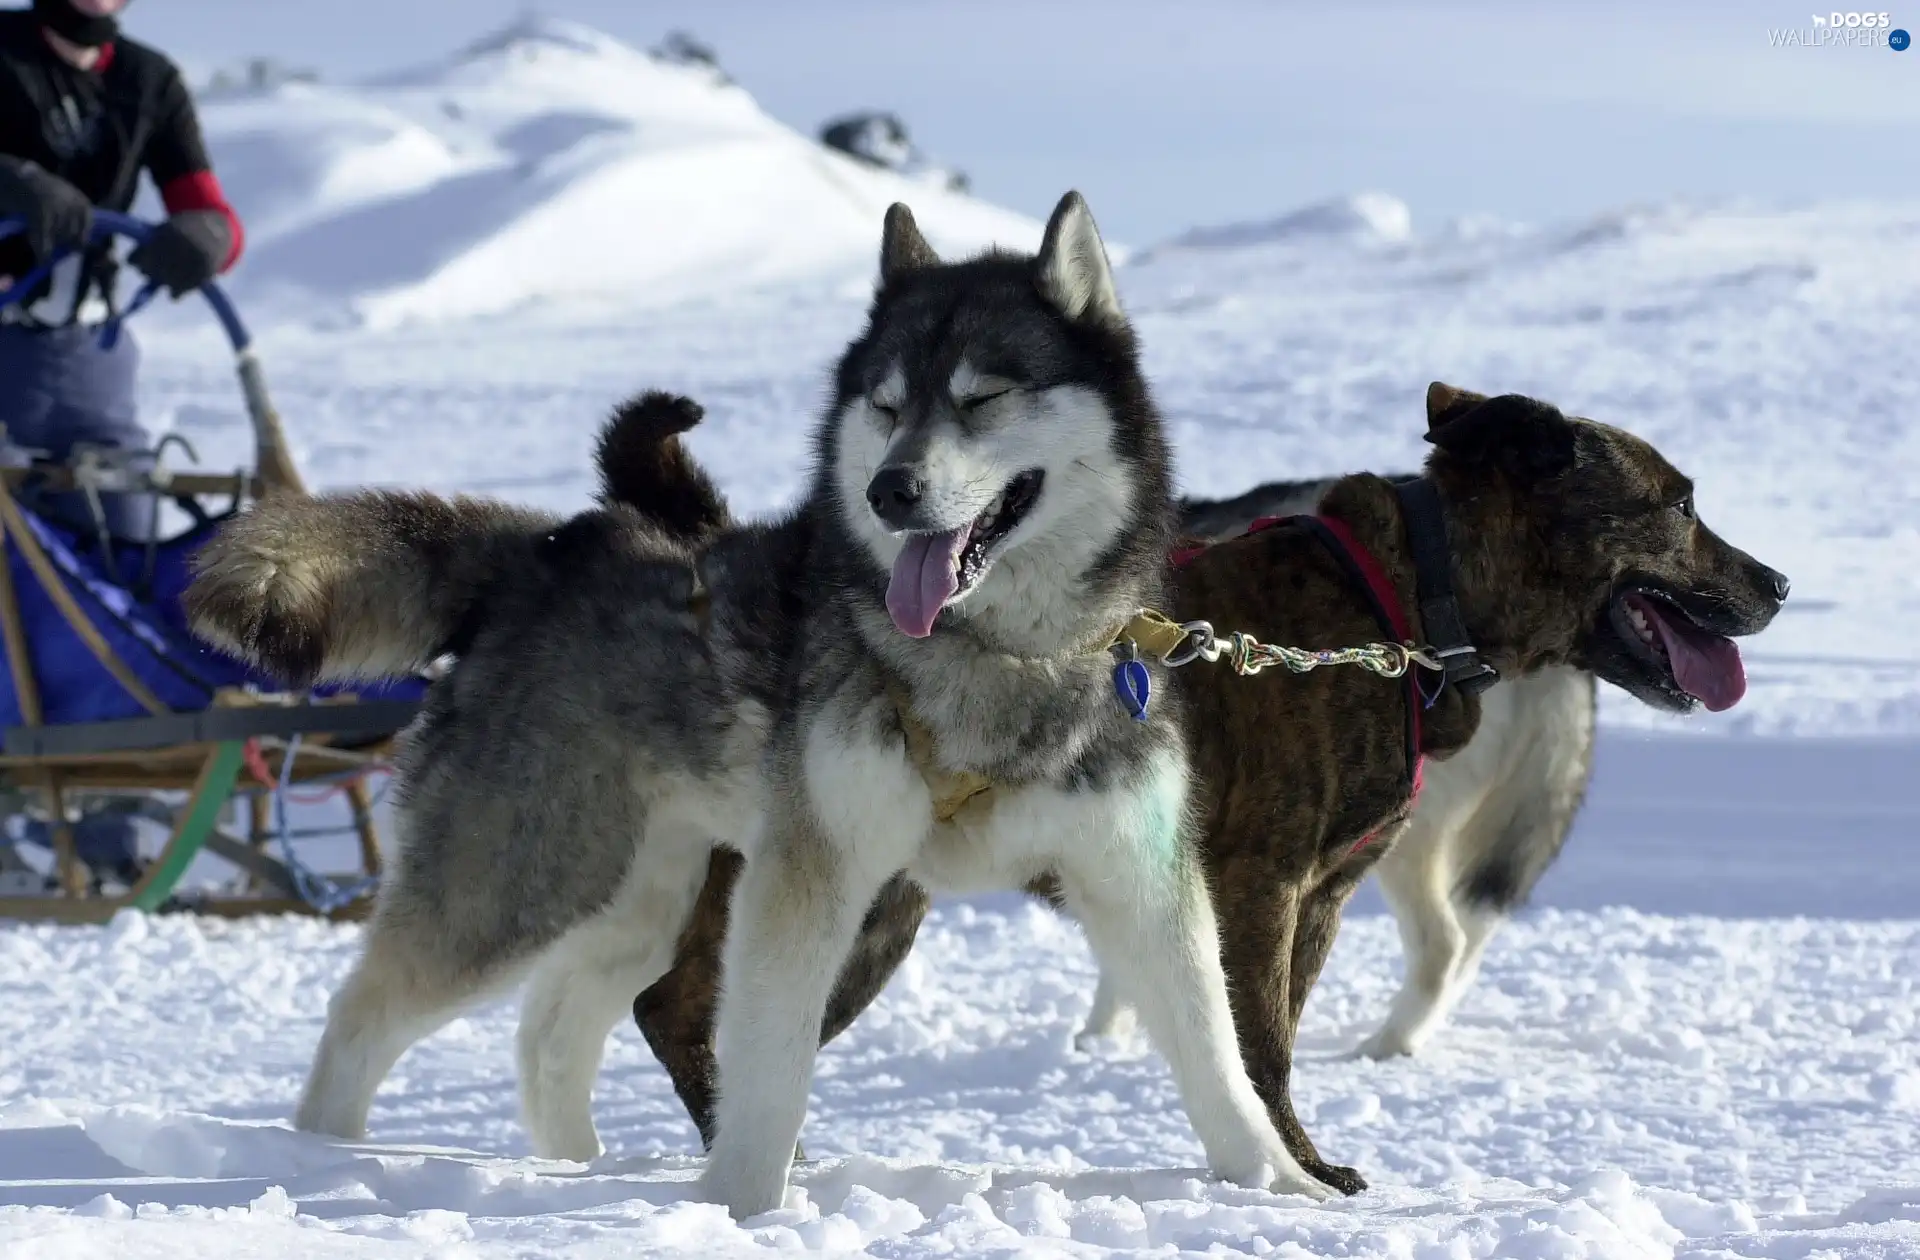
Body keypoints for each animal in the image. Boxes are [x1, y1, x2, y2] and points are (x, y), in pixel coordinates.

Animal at [191, 199, 1336, 1221]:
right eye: (886, 404)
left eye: (982, 397)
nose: (889, 490)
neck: (995, 653)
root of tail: (540, 552)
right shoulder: (811, 873)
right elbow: (771, 1064)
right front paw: (743, 1209)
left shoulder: (1137, 875)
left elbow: (1215, 1050)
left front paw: (1285, 1190)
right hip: (522, 881)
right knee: (363, 1018)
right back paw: (316, 1165)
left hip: (635, 895)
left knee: (553, 1029)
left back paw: (579, 1175)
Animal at [610, 382, 1781, 1190]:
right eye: (1678, 503)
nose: (1777, 583)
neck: (1397, 603)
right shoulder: (1261, 888)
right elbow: (1263, 1053)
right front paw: (1298, 1174)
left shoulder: (1316, 898)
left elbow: (1267, 1042)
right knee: (682, 1007)